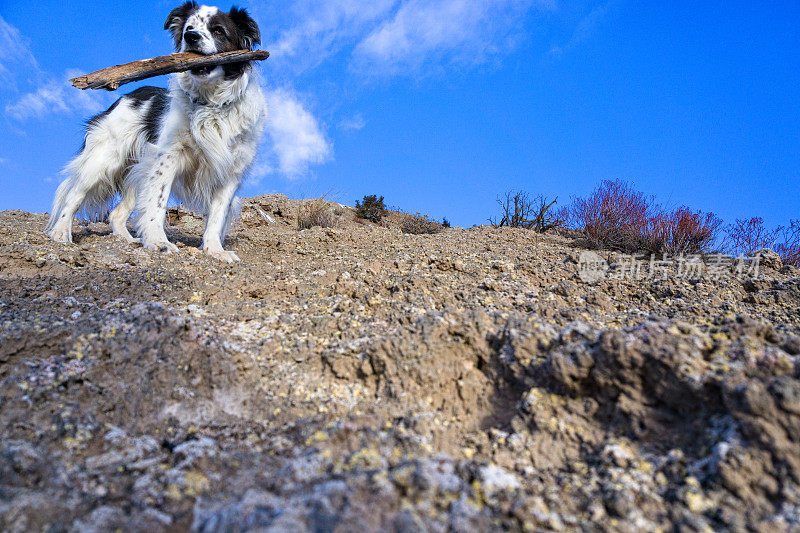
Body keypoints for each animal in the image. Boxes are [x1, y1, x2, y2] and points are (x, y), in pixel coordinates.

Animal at [47, 3, 266, 262]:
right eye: (189, 27)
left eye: (219, 31)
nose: (191, 37)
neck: (211, 103)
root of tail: (125, 96)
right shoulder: (167, 159)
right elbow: (158, 203)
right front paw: (159, 242)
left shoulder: (231, 171)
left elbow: (217, 214)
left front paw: (215, 250)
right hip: (104, 160)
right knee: (74, 195)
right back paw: (61, 233)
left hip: (137, 169)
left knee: (116, 214)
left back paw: (128, 240)